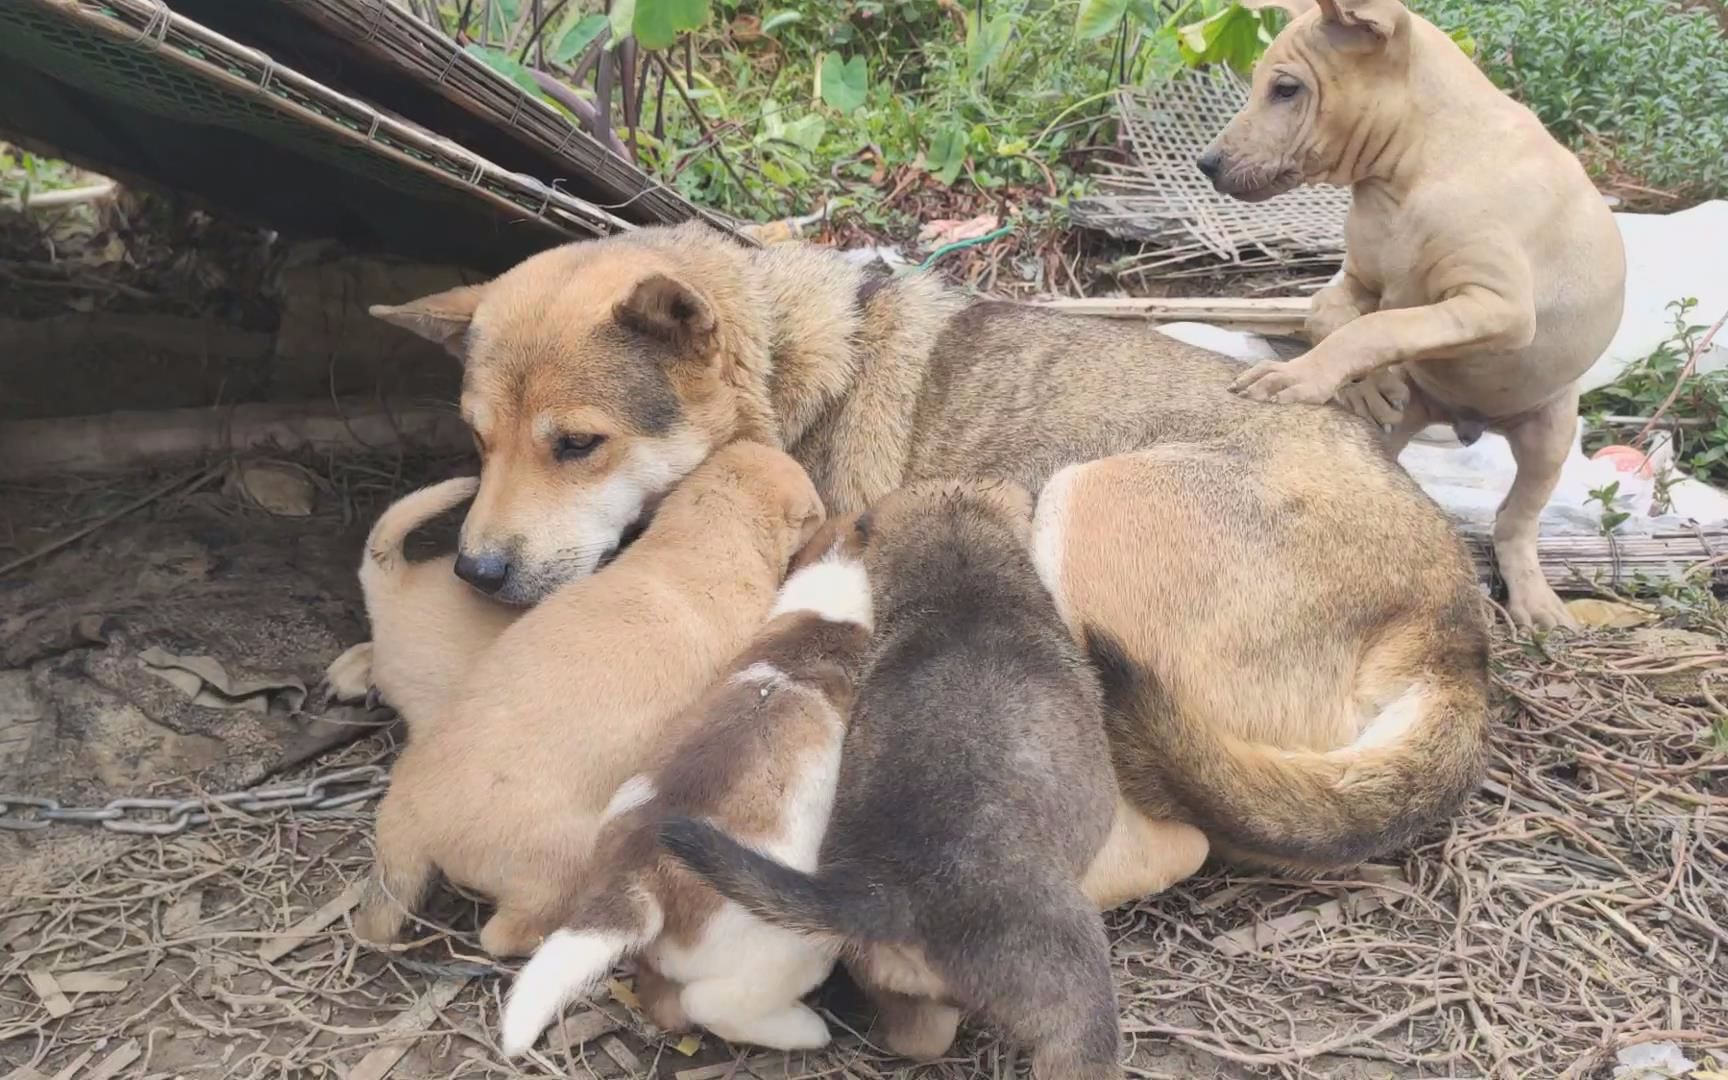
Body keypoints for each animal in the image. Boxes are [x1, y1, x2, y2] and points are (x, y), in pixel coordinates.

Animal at [371, 216, 1492, 891]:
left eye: (577, 444)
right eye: (477, 442)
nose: (475, 573)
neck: (775, 369)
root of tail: (1456, 626)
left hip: (1081, 510)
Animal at [1195, 0, 1624, 628]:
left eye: (1285, 89)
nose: (1205, 163)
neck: (1406, 172)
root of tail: (1466, 420)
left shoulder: (1496, 305)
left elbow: (1386, 323)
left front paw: (1297, 376)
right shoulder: (1353, 282)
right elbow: (1337, 320)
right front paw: (1367, 385)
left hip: (1549, 433)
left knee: (1516, 519)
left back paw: (1535, 600)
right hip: (1392, 436)